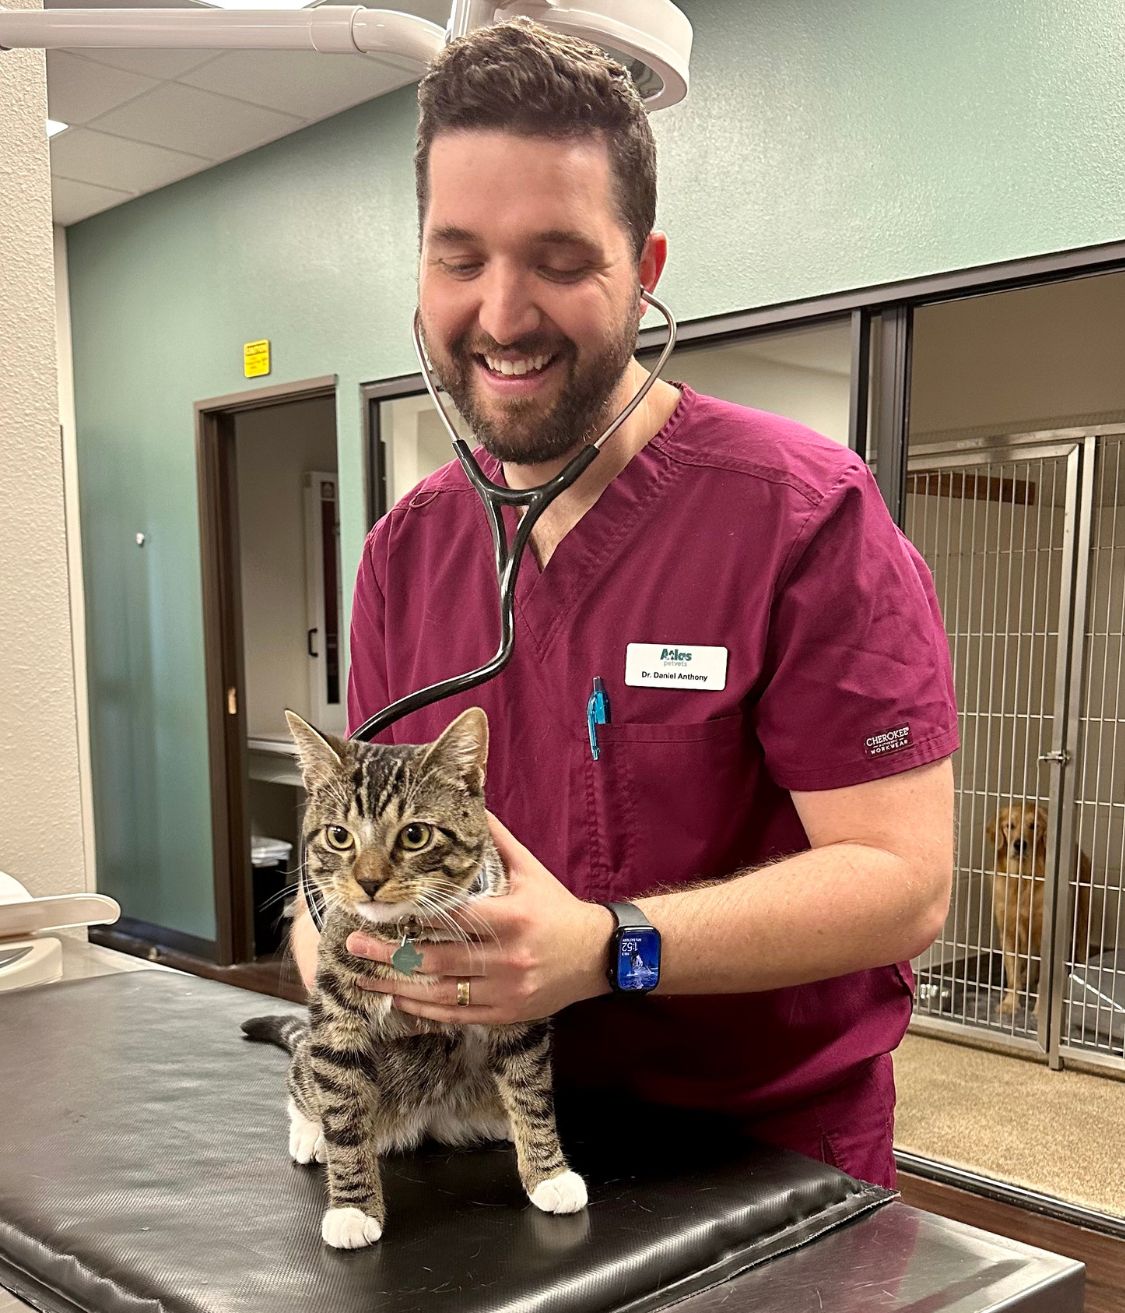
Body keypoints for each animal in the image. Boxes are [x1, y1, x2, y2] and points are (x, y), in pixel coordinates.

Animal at [240, 709, 582, 1249]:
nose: (369, 880)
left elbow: (530, 1087)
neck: (407, 929)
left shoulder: (518, 1004)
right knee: (305, 1078)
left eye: (415, 835)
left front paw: (548, 1172)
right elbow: (343, 1108)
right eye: (339, 836)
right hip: (313, 1055)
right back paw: (311, 1133)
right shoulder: (336, 1014)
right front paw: (353, 1208)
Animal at [987, 798, 1092, 1024]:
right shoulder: (1008, 932)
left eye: (1033, 826)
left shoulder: (1047, 935)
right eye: (1010, 826)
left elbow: (1045, 979)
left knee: (1080, 948)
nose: (1019, 844)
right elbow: (1012, 975)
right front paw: (1010, 1003)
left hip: (1082, 916)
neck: (1024, 880)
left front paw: (1040, 1010)